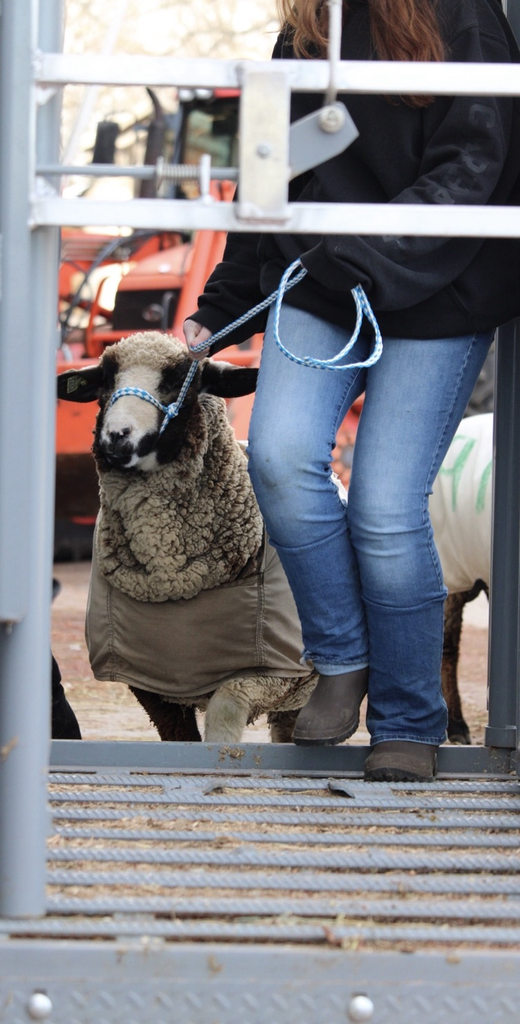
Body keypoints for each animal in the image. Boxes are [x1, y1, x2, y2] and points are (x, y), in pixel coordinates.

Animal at [57, 332, 317, 744]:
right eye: (105, 380)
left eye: (181, 380)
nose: (116, 437)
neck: (174, 581)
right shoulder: (151, 685)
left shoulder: (274, 673)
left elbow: (224, 716)